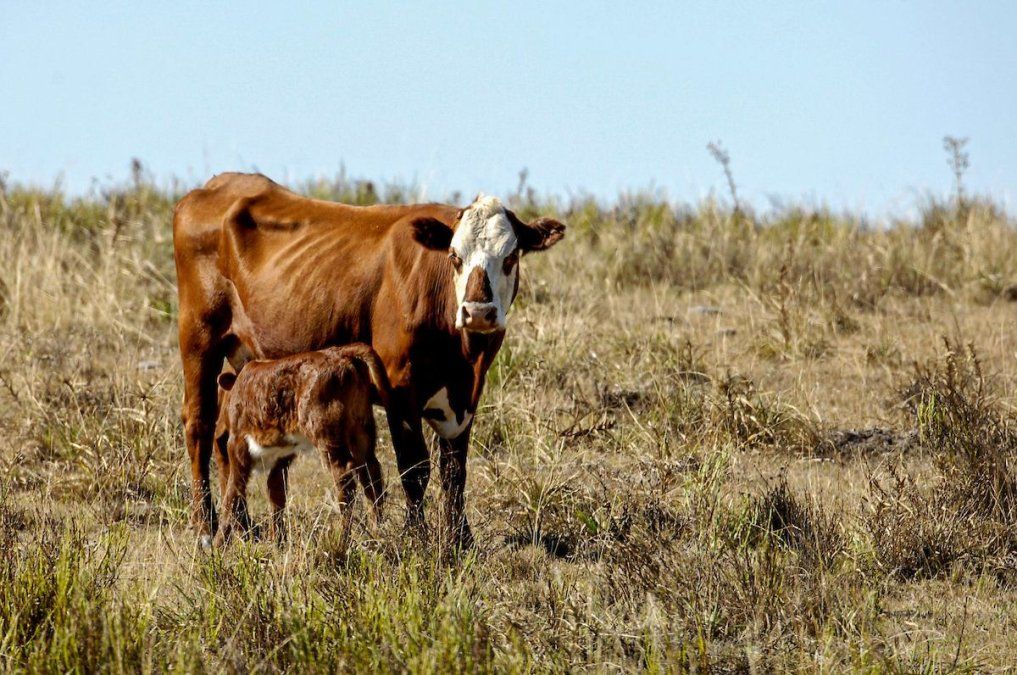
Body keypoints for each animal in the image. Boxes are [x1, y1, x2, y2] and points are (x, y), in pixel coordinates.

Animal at [214, 343, 388, 548]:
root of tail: (341, 353)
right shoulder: (281, 455)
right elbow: (276, 494)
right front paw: (277, 542)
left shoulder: (237, 444)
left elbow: (232, 493)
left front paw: (217, 545)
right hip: (362, 430)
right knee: (371, 474)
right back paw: (378, 532)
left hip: (326, 434)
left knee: (344, 477)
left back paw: (343, 538)